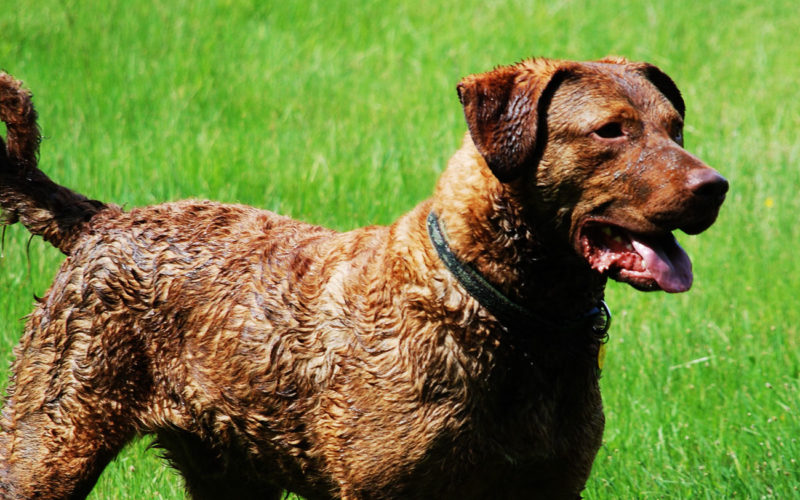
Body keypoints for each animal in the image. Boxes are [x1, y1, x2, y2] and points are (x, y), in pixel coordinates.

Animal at [0, 56, 724, 498]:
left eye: (675, 127)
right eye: (611, 131)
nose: (715, 187)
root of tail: (100, 220)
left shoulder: (551, 484)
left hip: (229, 468)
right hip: (47, 444)